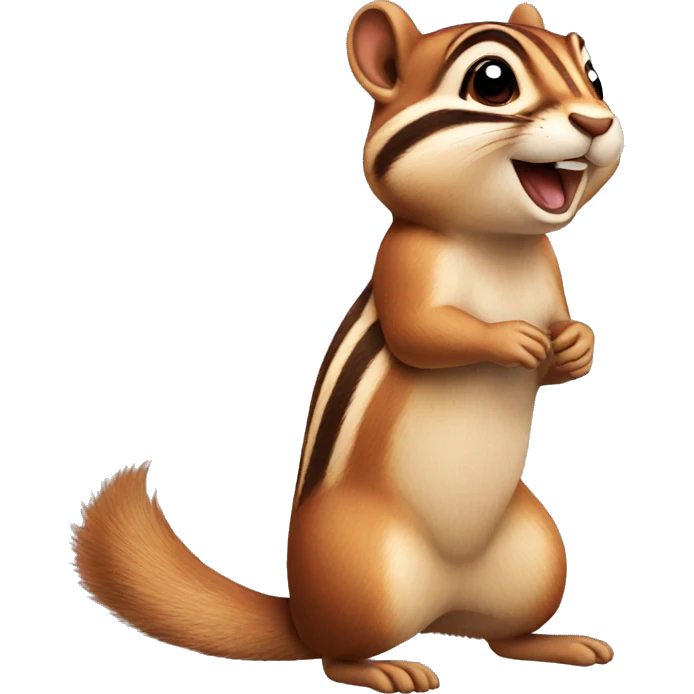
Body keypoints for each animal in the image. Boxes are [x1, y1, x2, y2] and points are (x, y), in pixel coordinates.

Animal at [74, 3, 623, 691]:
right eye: (492, 80)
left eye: (591, 70)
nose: (596, 120)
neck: (500, 241)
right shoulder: (406, 268)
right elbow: (423, 334)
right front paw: (510, 339)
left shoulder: (553, 279)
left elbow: (564, 343)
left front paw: (575, 346)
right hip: (366, 571)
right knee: (336, 652)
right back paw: (384, 670)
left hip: (538, 555)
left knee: (501, 633)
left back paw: (558, 644)